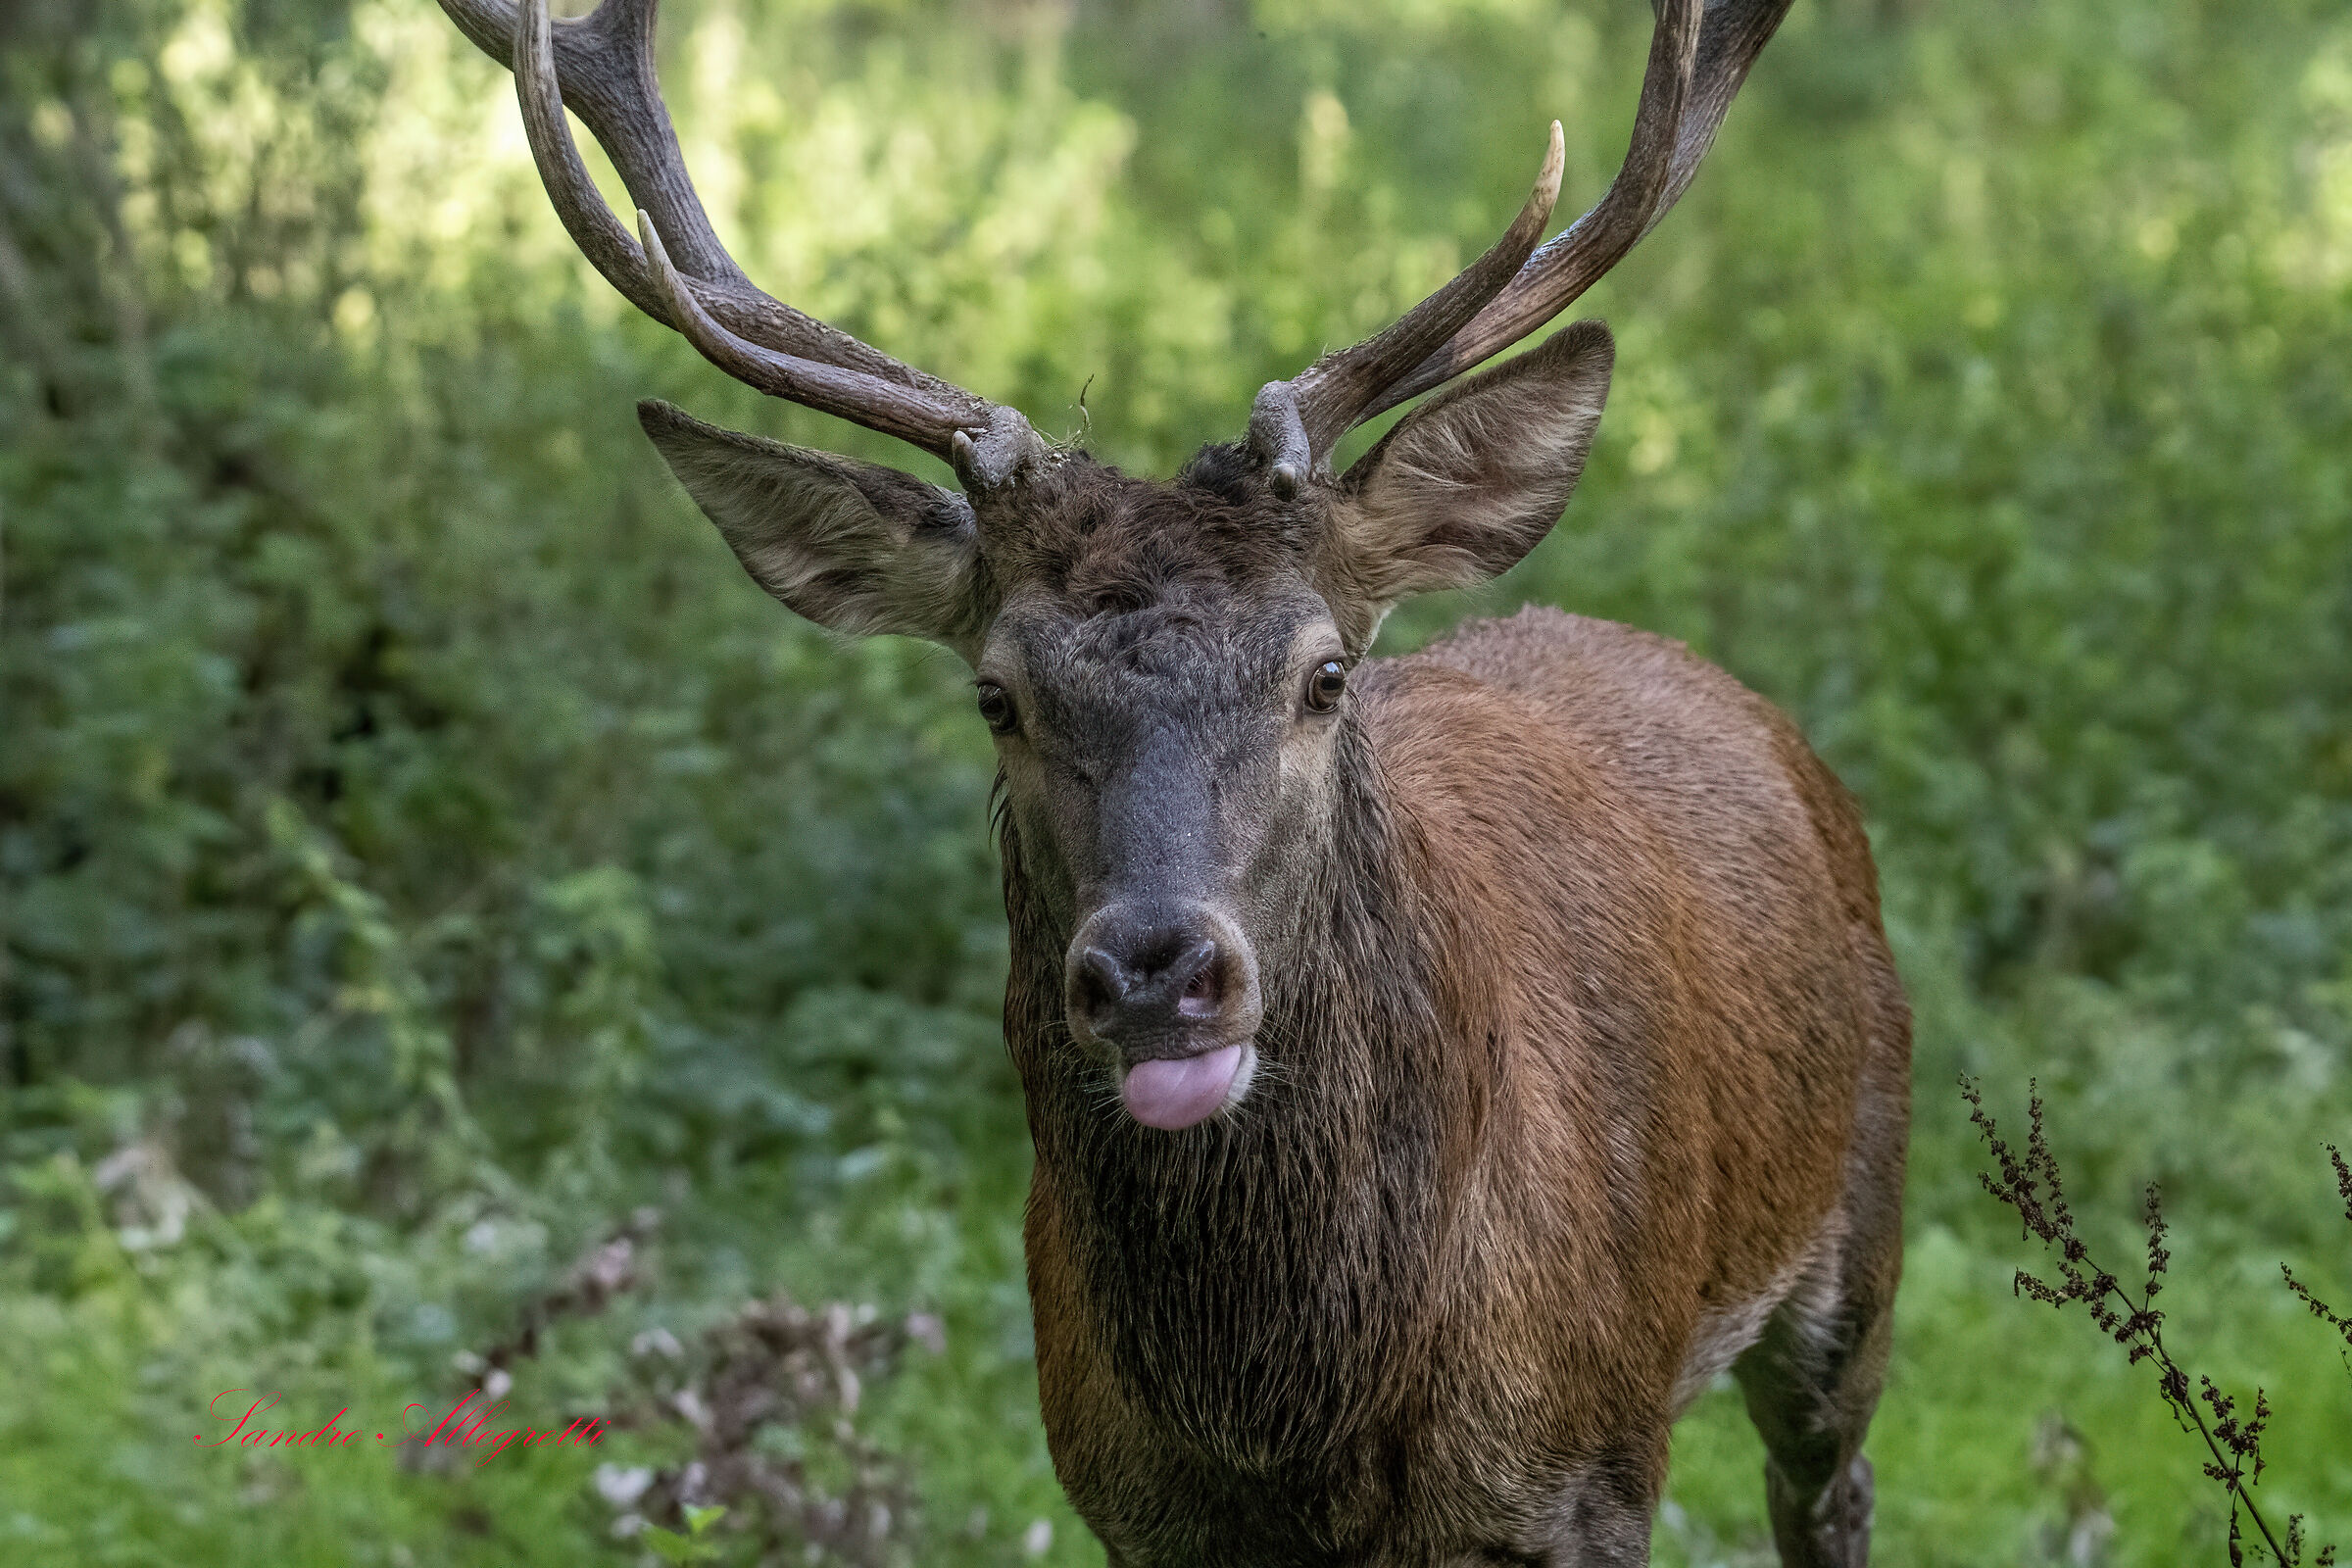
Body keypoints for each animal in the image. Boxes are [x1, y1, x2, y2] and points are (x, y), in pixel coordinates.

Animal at [435, 0, 1909, 1561]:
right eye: (996, 695)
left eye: (1325, 673)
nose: (1157, 971)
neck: (1294, 1429)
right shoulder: (1120, 1494)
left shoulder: (1586, 1474)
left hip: (1857, 1220)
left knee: (1831, 1483)